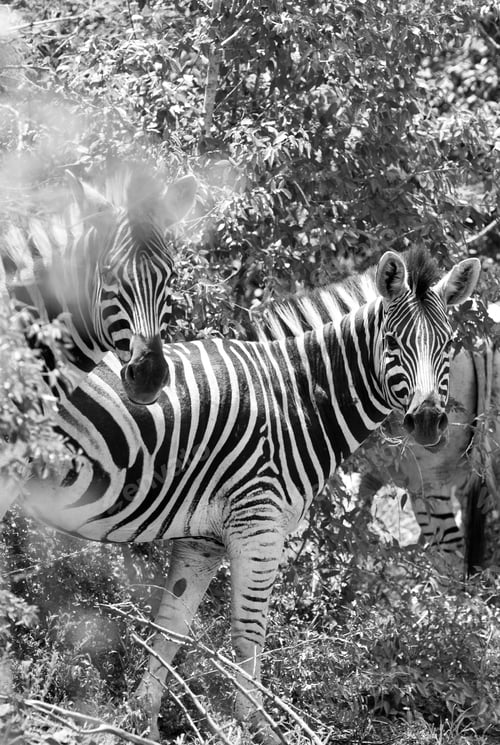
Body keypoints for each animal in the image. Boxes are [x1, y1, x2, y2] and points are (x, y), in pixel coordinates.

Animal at [2, 249, 480, 742]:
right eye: (392, 342)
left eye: (447, 346)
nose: (428, 422)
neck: (296, 397)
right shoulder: (259, 526)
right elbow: (248, 635)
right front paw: (259, 727)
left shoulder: (203, 541)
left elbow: (171, 628)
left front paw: (140, 722)